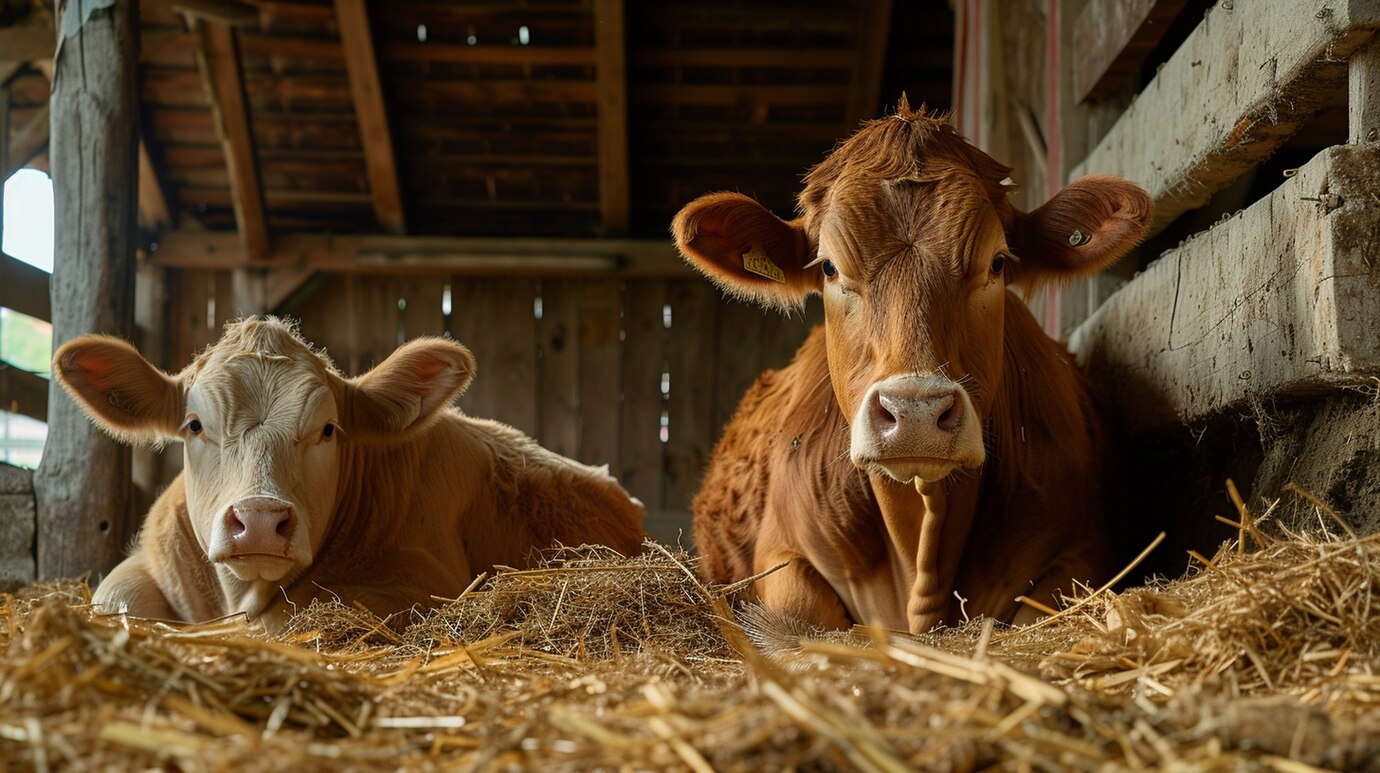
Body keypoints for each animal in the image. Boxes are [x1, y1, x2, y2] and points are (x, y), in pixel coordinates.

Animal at [48, 318, 640, 629]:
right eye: (195, 425)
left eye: (329, 430)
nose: (258, 520)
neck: (239, 596)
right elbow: (116, 598)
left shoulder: (422, 580)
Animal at [673, 101, 1148, 634]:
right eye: (829, 268)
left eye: (998, 263)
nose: (915, 412)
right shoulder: (781, 553)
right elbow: (799, 611)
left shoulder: (1082, 552)